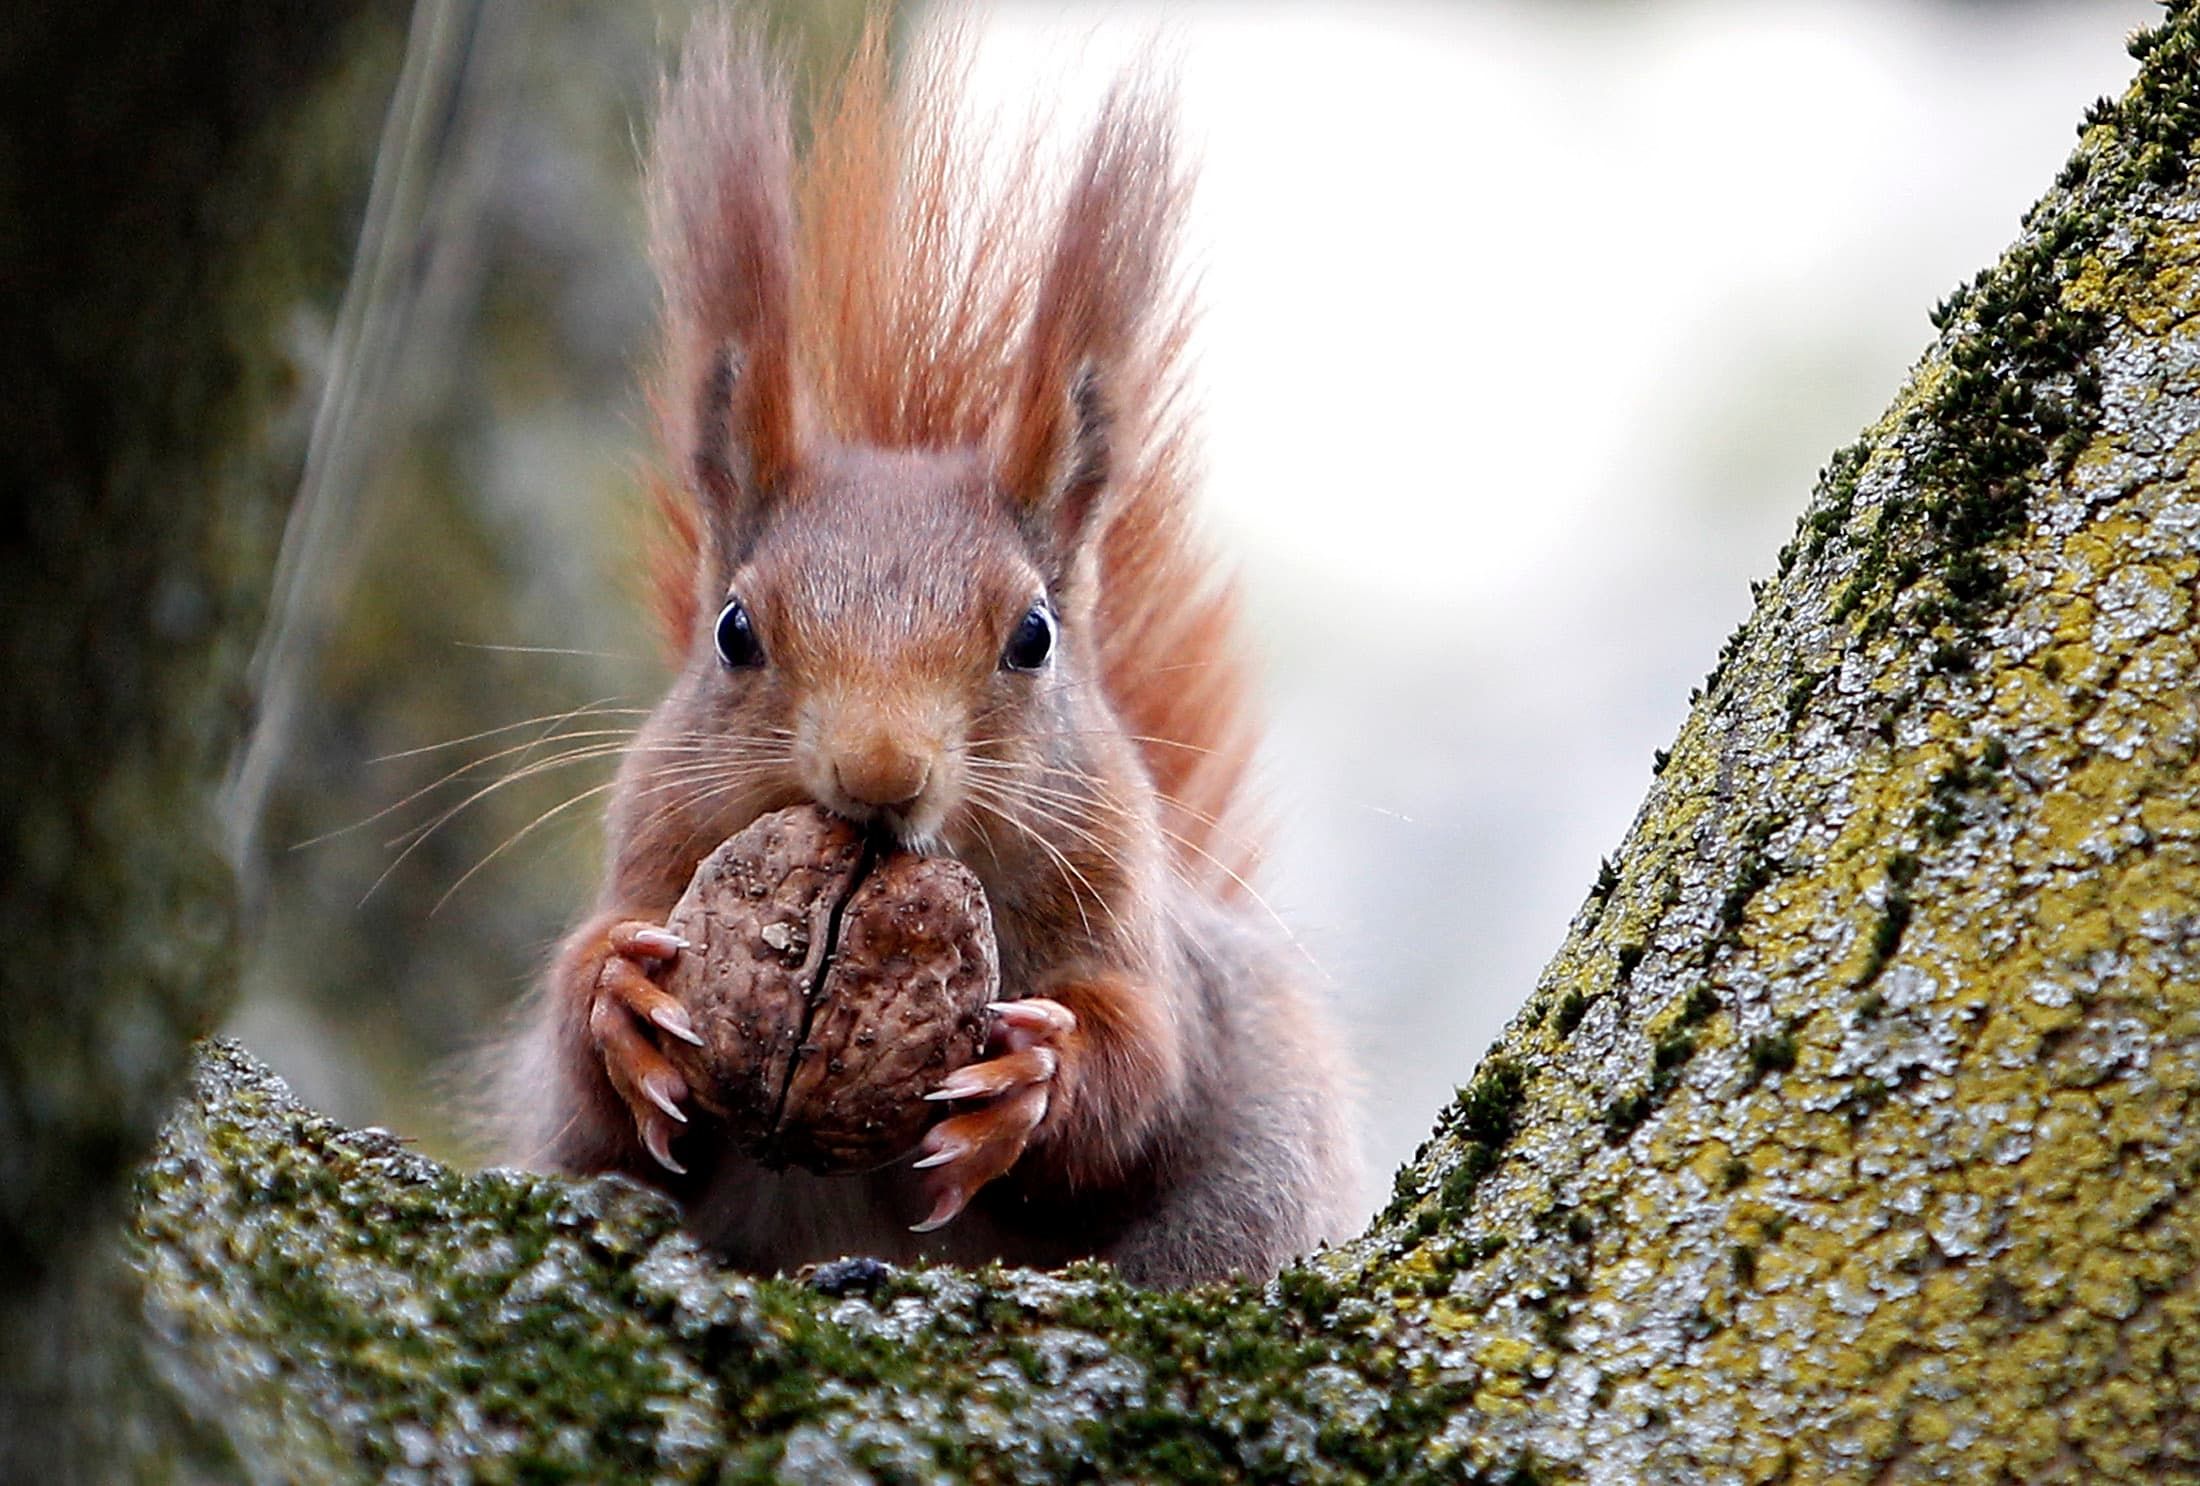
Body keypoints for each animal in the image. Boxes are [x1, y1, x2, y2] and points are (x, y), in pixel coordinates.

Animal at [492, 16, 1361, 1288]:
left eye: (1034, 635)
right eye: (734, 631)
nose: (880, 772)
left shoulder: (1138, 931)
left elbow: (1143, 1069)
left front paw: (1030, 1082)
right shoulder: (652, 850)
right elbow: (586, 1087)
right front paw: (619, 999)